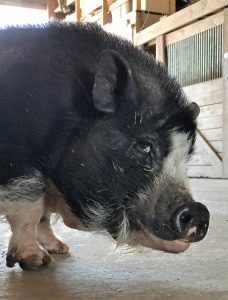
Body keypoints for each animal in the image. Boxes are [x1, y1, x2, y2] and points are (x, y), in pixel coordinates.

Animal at [0, 21, 209, 270]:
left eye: (186, 156)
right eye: (144, 146)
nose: (199, 210)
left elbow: (43, 216)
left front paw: (60, 250)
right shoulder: (17, 164)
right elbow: (29, 210)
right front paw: (37, 262)